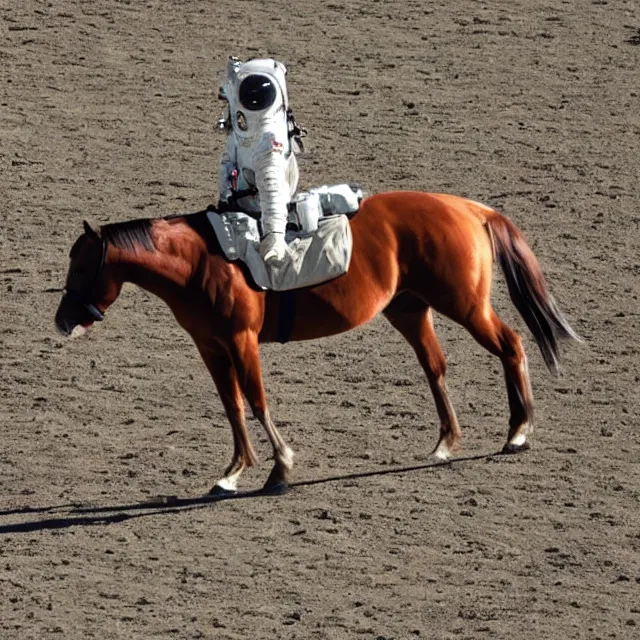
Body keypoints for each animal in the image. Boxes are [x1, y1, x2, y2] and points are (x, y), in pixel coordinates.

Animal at [53, 192, 580, 492]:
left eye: (81, 267)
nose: (61, 321)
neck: (205, 260)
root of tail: (469, 207)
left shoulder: (242, 341)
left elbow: (256, 402)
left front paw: (280, 468)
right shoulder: (211, 347)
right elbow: (232, 406)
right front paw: (233, 471)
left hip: (465, 307)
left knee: (512, 345)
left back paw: (518, 432)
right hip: (410, 310)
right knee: (436, 367)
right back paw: (447, 442)